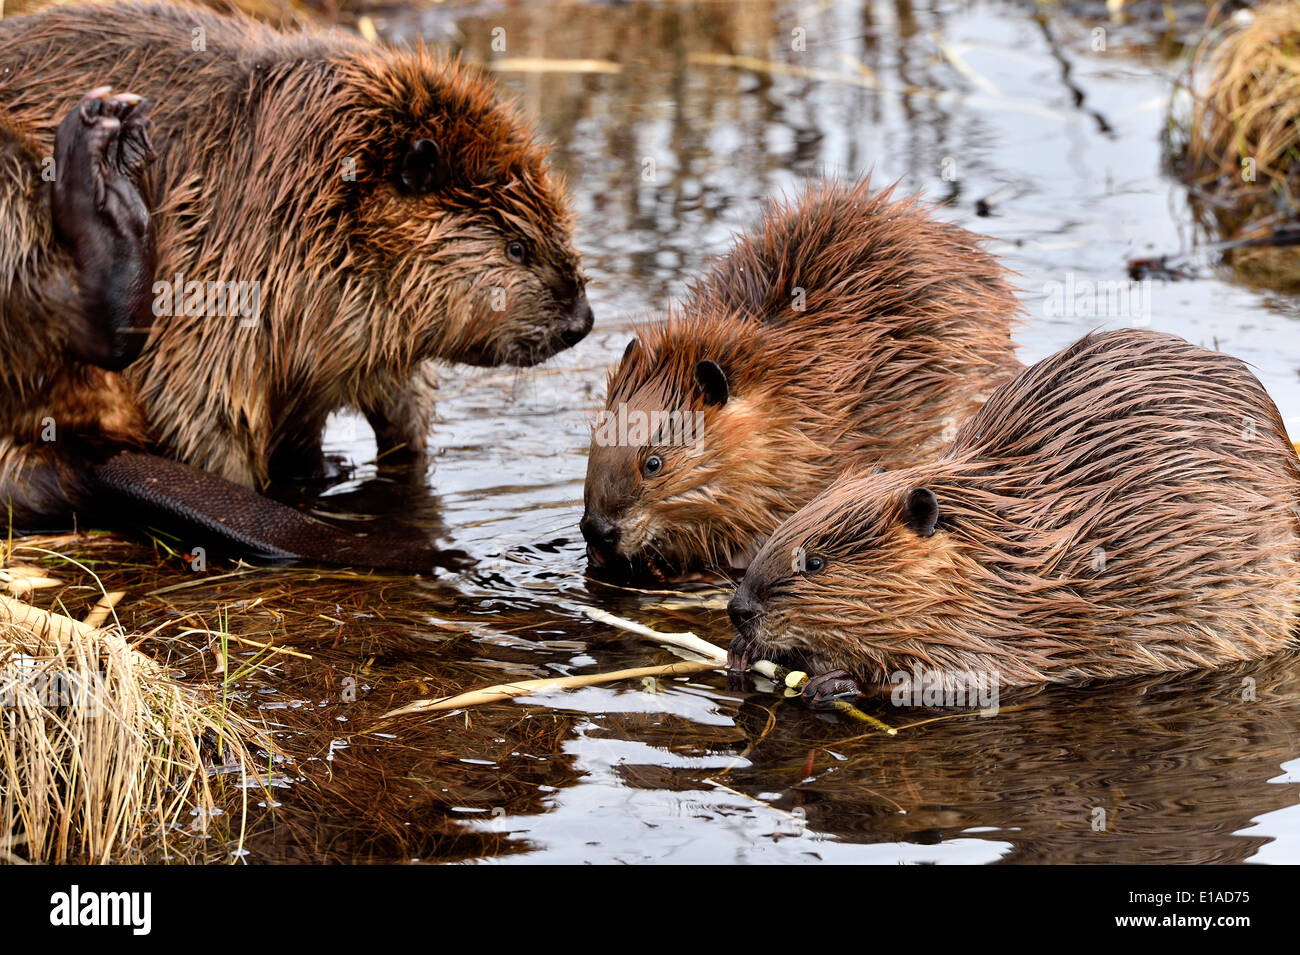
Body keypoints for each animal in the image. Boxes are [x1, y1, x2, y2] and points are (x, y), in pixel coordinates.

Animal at [2, 0, 592, 496]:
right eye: (516, 248)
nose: (580, 322)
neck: (305, 174)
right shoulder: (219, 266)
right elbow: (203, 405)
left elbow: (396, 402)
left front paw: (364, 464)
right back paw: (99, 156)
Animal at [728, 330, 1300, 701]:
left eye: (815, 564)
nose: (739, 609)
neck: (998, 554)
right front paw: (738, 652)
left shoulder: (1006, 625)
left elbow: (965, 677)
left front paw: (840, 682)